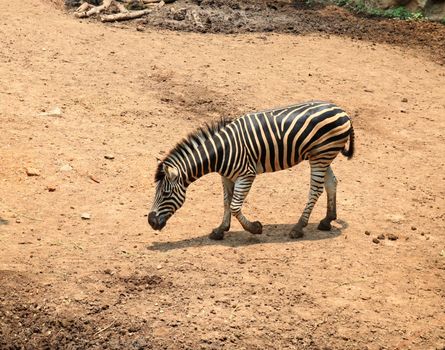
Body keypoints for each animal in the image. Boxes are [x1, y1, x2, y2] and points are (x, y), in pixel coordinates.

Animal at [148, 100, 354, 239]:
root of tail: (342, 111)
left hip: (320, 156)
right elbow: (226, 202)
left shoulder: (247, 175)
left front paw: (254, 228)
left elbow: (235, 206)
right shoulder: (226, 177)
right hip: (321, 155)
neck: (221, 152)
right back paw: (327, 220)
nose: (150, 222)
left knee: (315, 189)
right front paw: (220, 230)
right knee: (331, 182)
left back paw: (298, 227)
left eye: (165, 194)